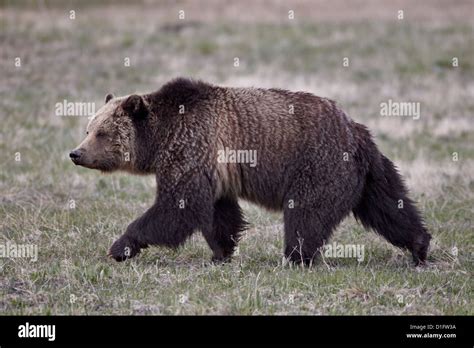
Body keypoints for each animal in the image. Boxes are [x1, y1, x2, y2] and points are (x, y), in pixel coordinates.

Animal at [69, 77, 430, 266]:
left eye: (101, 132)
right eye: (88, 128)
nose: (76, 153)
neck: (160, 138)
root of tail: (356, 132)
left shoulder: (191, 149)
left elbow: (177, 208)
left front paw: (121, 245)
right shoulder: (213, 168)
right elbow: (218, 213)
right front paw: (221, 253)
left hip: (318, 165)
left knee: (306, 215)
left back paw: (295, 257)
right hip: (370, 175)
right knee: (390, 208)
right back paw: (419, 245)